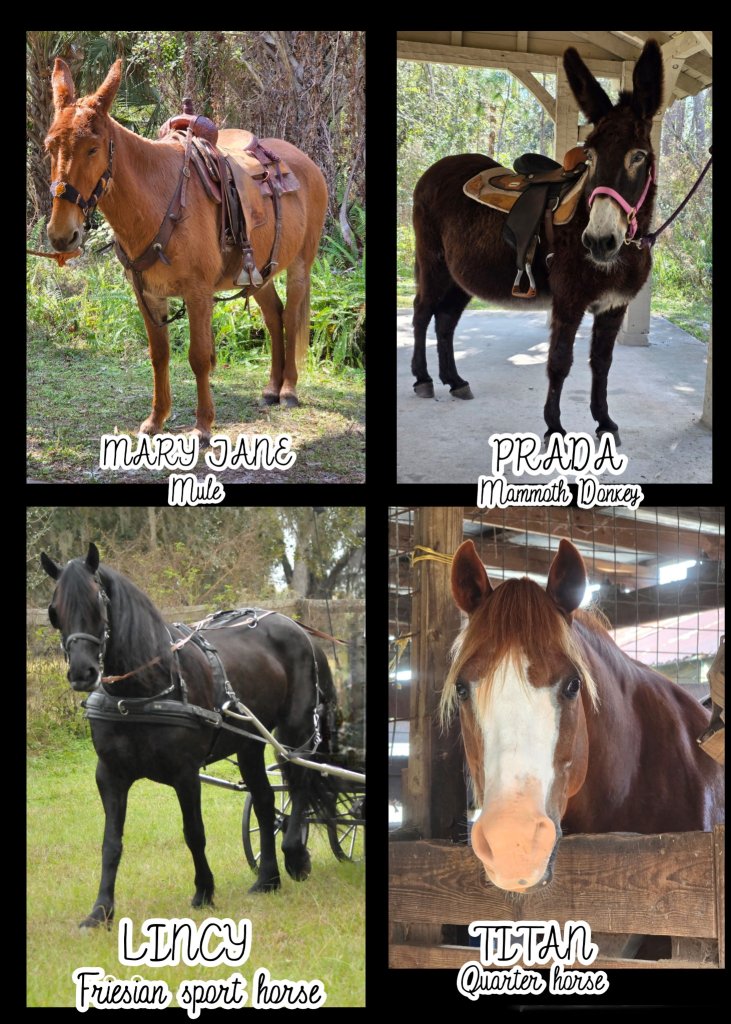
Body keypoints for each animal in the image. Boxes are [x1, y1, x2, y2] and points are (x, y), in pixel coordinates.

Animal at [40, 543, 339, 928]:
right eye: (54, 612)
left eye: (97, 604)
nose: (82, 672)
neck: (142, 691)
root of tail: (298, 628)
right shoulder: (109, 775)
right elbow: (111, 842)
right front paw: (101, 911)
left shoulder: (185, 774)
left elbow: (194, 833)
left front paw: (204, 892)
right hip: (248, 744)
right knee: (263, 800)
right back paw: (267, 879)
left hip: (295, 728)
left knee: (300, 781)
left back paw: (296, 857)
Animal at [45, 59, 328, 442]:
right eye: (50, 146)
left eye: (92, 148)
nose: (62, 236)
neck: (158, 198)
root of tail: (305, 161)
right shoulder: (148, 295)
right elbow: (159, 355)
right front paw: (156, 419)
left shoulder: (198, 293)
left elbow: (199, 356)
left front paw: (204, 425)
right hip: (260, 274)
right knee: (274, 316)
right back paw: (271, 388)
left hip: (300, 266)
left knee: (292, 318)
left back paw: (288, 391)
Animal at [411, 40, 663, 441]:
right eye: (590, 156)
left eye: (638, 156)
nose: (599, 242)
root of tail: (436, 169)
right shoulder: (569, 301)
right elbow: (559, 361)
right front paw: (554, 427)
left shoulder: (613, 306)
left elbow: (602, 363)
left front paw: (604, 421)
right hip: (433, 263)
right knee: (422, 313)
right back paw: (422, 379)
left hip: (461, 275)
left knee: (445, 320)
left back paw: (455, 380)